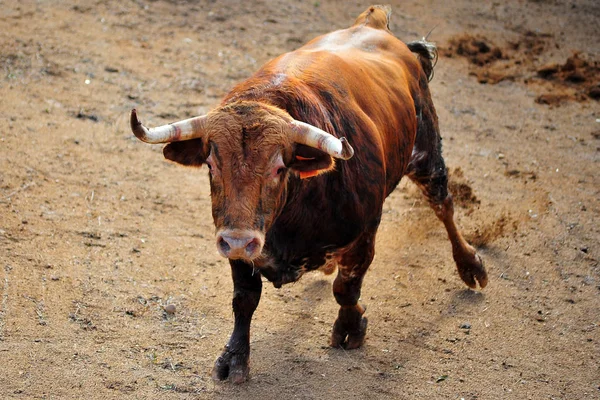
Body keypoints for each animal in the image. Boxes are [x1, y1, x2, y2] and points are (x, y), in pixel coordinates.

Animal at [130, 4, 488, 382]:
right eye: (211, 164)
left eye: (279, 167)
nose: (239, 240)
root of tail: (374, 22)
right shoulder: (239, 246)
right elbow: (244, 299)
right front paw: (234, 358)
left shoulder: (365, 231)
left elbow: (347, 287)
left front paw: (350, 328)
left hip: (426, 153)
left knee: (443, 205)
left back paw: (471, 266)